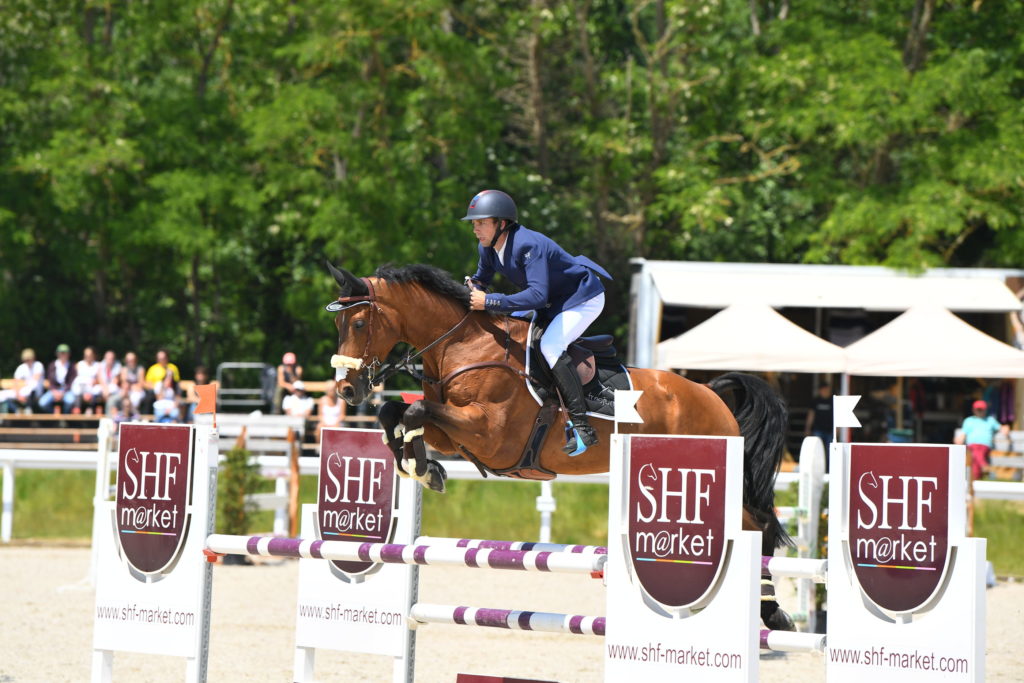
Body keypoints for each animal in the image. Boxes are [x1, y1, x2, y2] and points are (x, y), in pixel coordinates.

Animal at [323, 262, 794, 630]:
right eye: (338, 325)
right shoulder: (454, 435)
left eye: (360, 324)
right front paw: (423, 468)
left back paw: (772, 613)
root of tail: (712, 395)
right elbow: (396, 413)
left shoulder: (490, 434)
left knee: (759, 525)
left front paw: (423, 469)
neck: (462, 345)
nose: (347, 390)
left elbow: (415, 412)